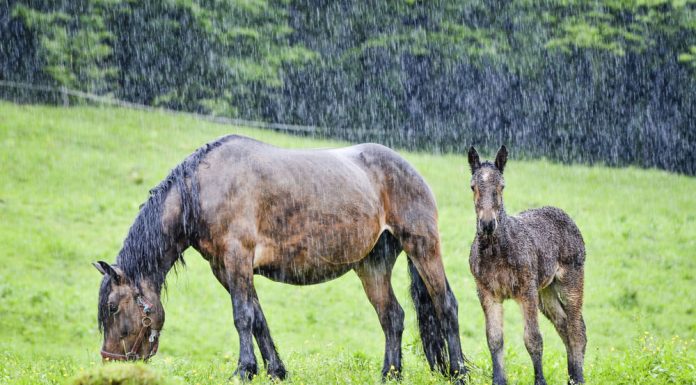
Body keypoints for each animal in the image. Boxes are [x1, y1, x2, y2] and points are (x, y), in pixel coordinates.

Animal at [92, 135, 468, 380]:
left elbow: (242, 317)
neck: (203, 189)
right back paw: (390, 374)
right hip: (373, 264)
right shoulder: (226, 269)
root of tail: (409, 168)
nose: (110, 364)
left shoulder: (237, 260)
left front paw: (243, 370)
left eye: (112, 308)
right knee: (392, 316)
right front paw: (274, 371)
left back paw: (459, 370)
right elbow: (258, 318)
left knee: (445, 305)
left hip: (423, 246)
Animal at [468, 146, 588, 384]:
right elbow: (494, 339)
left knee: (577, 329)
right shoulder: (486, 293)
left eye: (501, 186)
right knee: (562, 324)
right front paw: (498, 380)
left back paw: (578, 377)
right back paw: (571, 375)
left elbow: (533, 339)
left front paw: (540, 380)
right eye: (473, 187)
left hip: (570, 280)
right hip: (546, 291)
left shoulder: (527, 291)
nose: (487, 224)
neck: (497, 251)